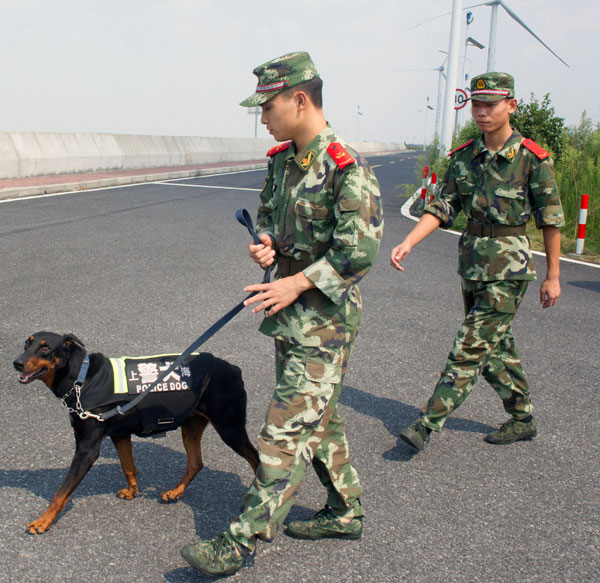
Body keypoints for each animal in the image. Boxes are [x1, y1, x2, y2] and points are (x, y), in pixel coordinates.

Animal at [12, 334, 258, 532]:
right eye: (26, 344)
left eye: (45, 347)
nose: (17, 362)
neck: (82, 379)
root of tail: (234, 369)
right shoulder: (119, 434)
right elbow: (128, 466)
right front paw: (132, 491)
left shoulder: (86, 449)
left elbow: (60, 492)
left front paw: (42, 522)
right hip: (191, 425)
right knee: (196, 463)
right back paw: (175, 492)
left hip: (229, 427)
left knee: (256, 459)